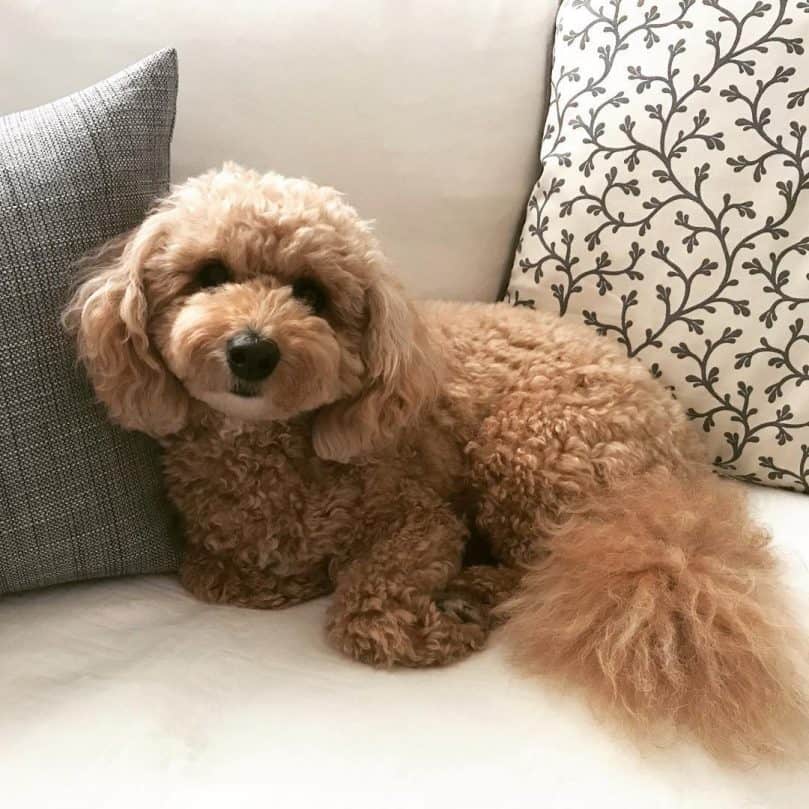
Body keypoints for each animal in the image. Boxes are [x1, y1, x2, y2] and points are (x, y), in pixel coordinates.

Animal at [64, 163, 808, 756]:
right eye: (210, 274)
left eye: (312, 294)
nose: (252, 350)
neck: (264, 448)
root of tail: (682, 454)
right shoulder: (212, 553)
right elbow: (217, 575)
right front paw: (298, 579)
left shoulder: (419, 521)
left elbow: (363, 611)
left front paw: (432, 631)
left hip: (530, 447)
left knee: (549, 572)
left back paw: (472, 593)